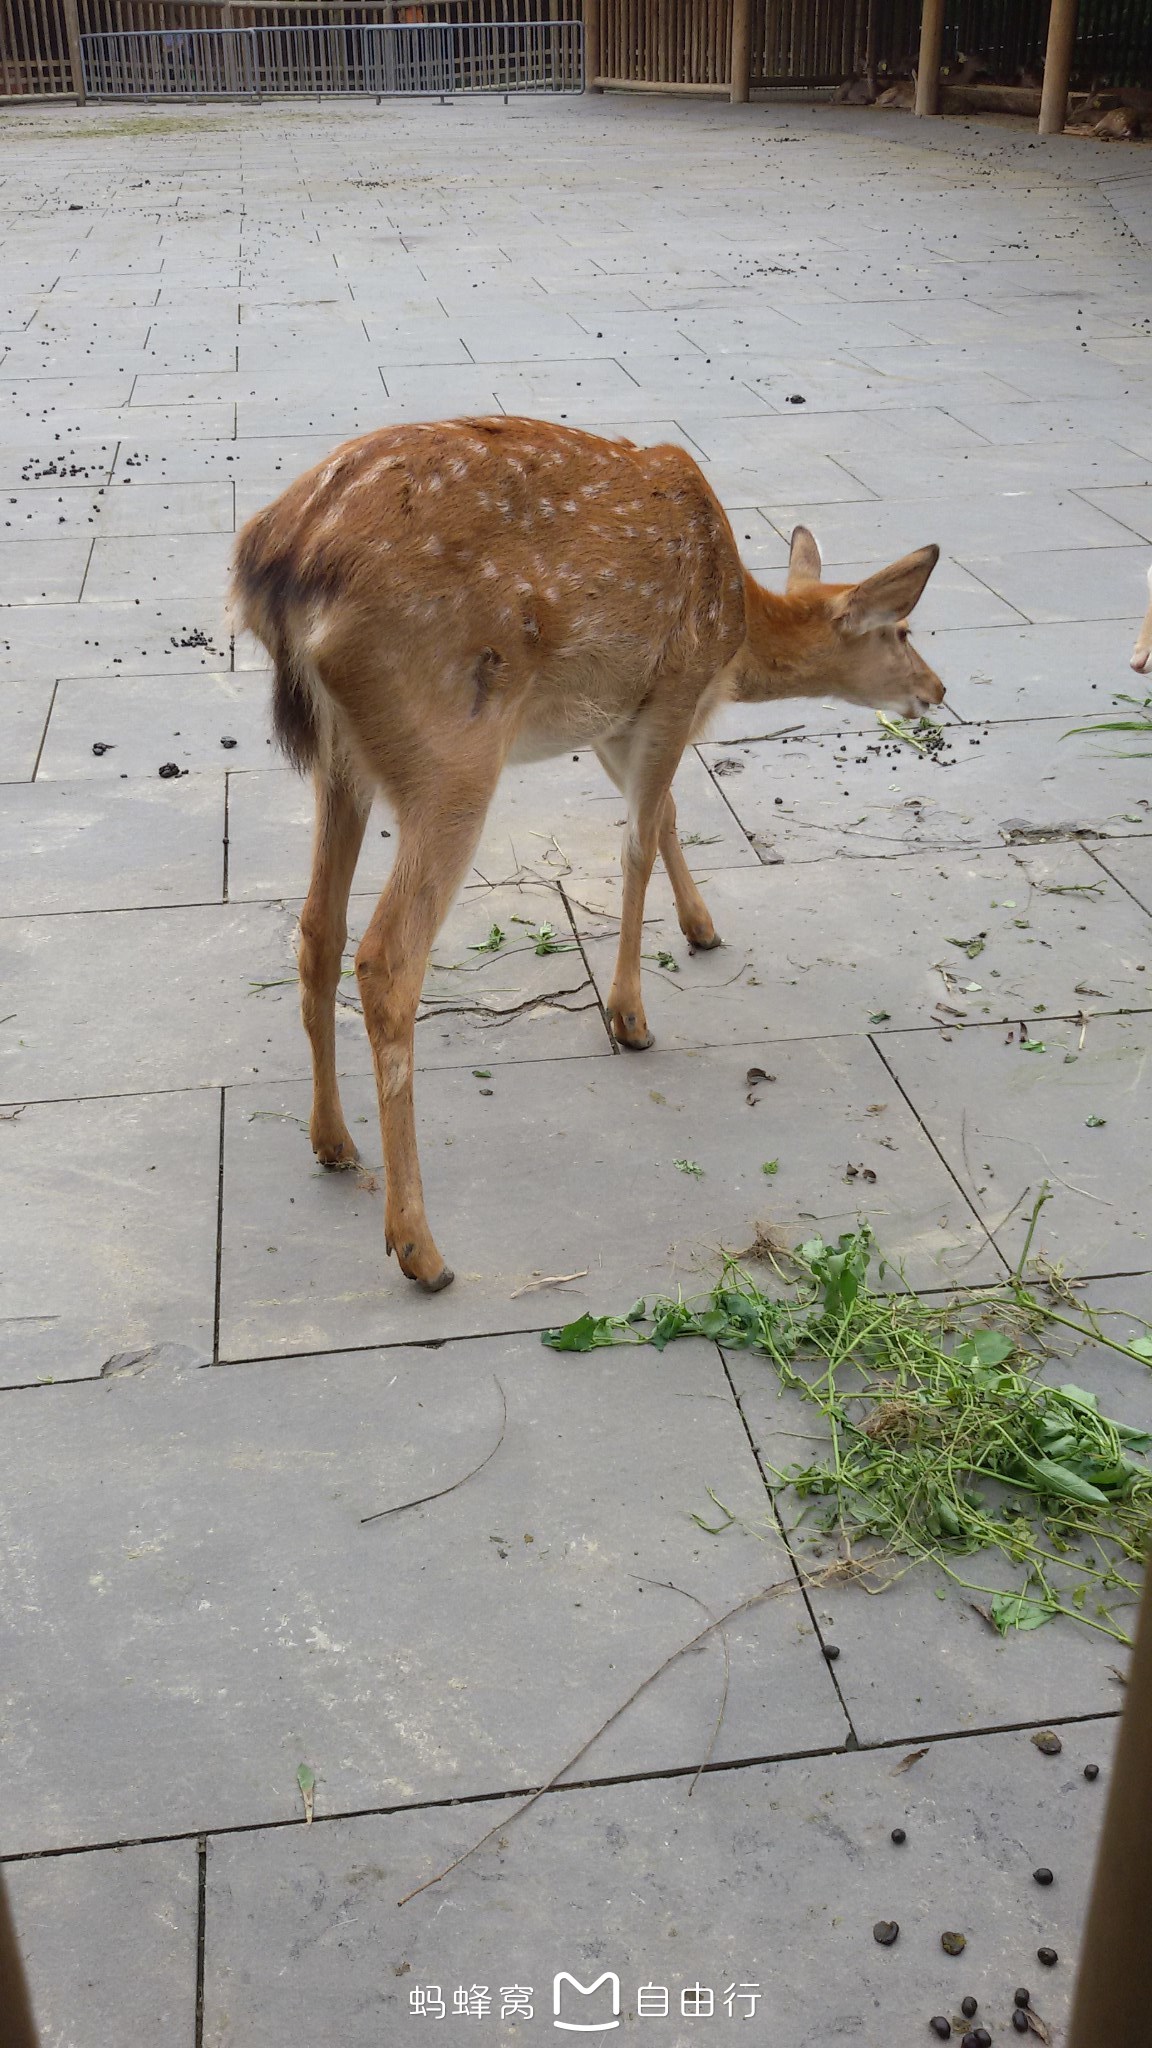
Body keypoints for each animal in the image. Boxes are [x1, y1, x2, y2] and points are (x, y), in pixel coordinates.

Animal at [226, 415, 942, 1294]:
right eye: (901, 630)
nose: (939, 690)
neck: (737, 635)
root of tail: (279, 564)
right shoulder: (672, 688)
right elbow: (637, 841)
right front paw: (630, 1015)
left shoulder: (612, 719)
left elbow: (664, 816)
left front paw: (703, 927)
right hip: (449, 750)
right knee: (387, 957)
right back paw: (422, 1249)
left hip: (341, 759)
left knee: (316, 930)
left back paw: (331, 1141)